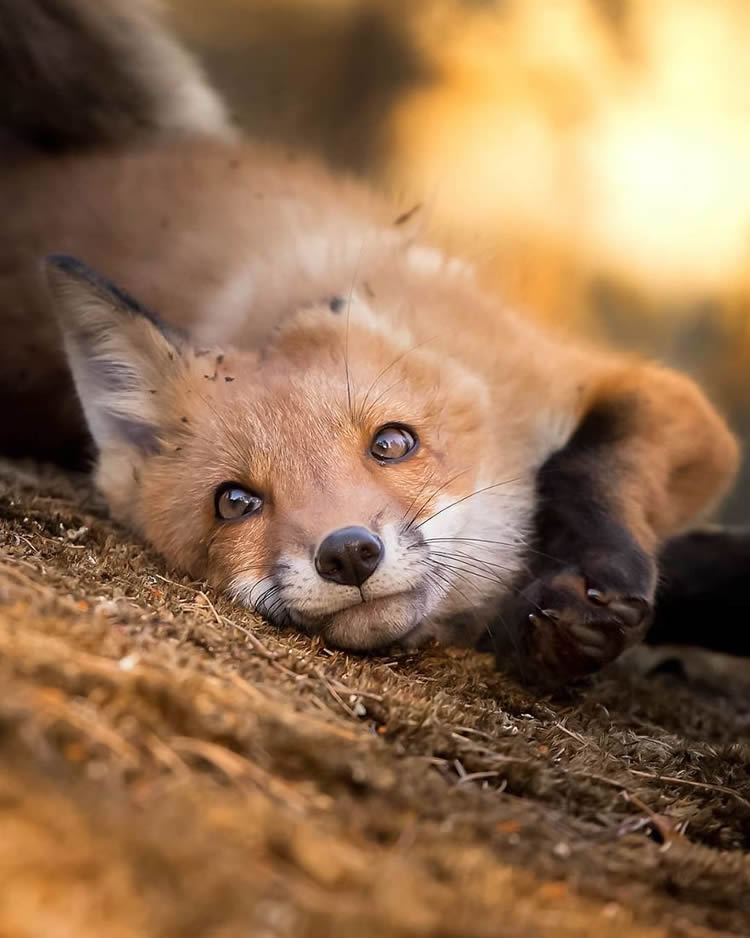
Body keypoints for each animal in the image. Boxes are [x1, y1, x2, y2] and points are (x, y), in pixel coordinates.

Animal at [0, 0, 748, 684]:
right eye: (235, 502)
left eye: (392, 443)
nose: (349, 554)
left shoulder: (633, 394)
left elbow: (586, 468)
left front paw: (588, 580)